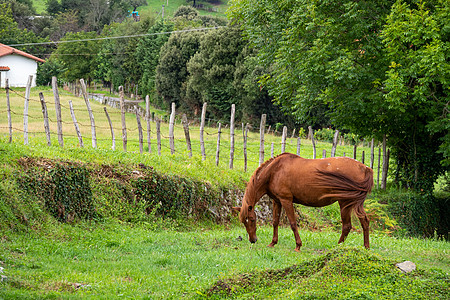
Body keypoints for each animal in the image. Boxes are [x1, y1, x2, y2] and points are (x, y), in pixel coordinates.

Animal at [232, 152, 372, 251]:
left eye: (252, 219)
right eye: (243, 222)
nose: (252, 240)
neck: (274, 171)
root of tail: (364, 168)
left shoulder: (286, 200)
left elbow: (293, 223)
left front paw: (298, 245)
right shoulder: (277, 201)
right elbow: (275, 222)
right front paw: (273, 243)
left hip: (344, 203)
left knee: (347, 226)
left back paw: (338, 246)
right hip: (355, 204)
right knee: (364, 221)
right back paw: (366, 247)